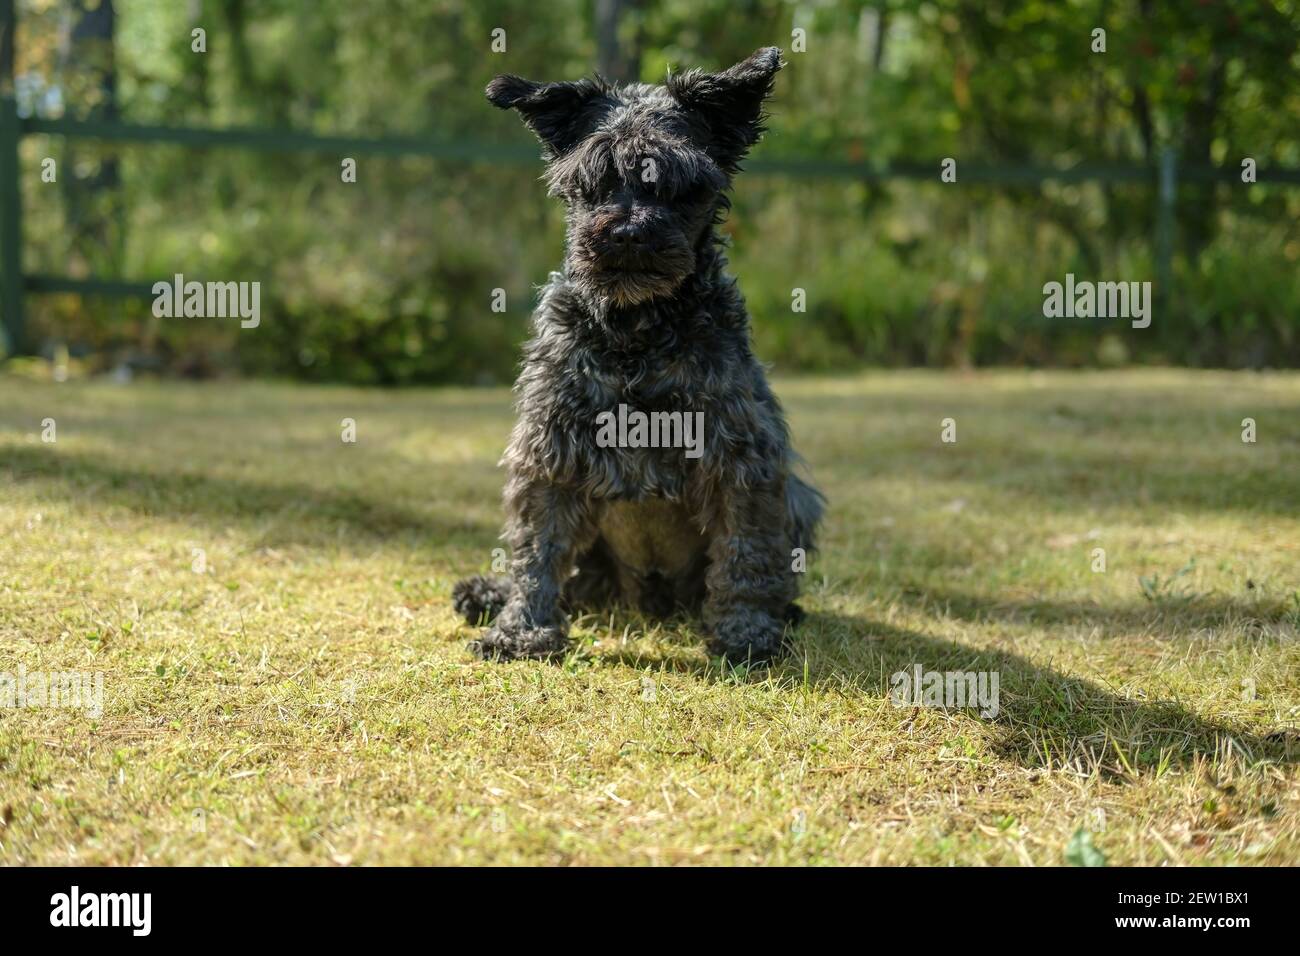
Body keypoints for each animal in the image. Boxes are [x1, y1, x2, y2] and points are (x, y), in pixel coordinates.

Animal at [454, 46, 821, 665]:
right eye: (594, 179)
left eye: (675, 182)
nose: (626, 233)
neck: (635, 330)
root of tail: (648, 597)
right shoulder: (551, 447)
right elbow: (536, 548)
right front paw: (522, 630)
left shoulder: (741, 453)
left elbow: (745, 551)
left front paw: (745, 634)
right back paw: (488, 591)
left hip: (800, 498)